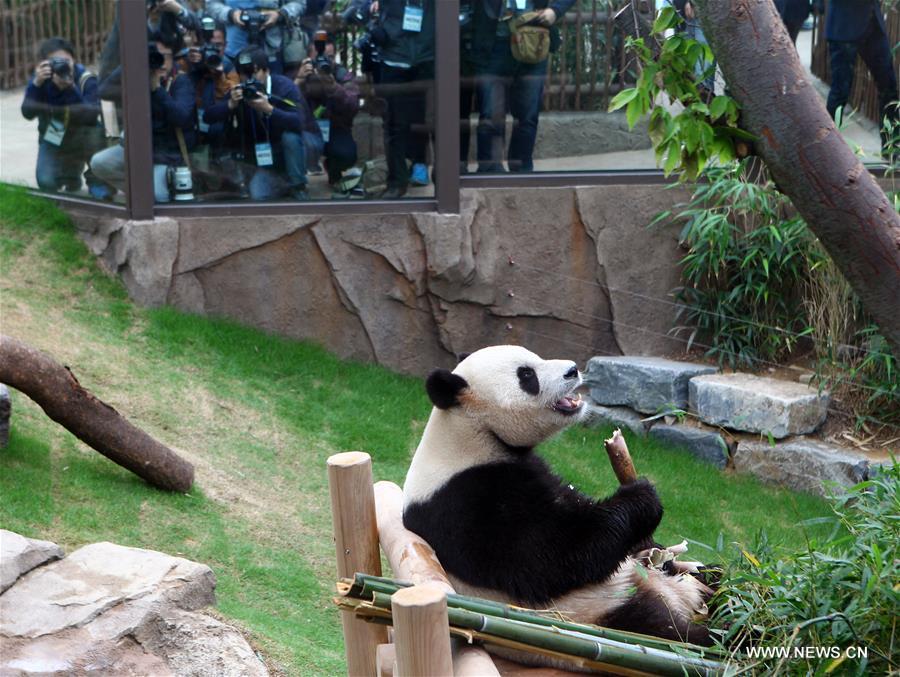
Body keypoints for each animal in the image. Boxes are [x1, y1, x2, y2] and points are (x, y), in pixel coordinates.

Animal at [404, 346, 712, 648]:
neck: (470, 433)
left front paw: (651, 542)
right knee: (666, 630)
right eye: (526, 375)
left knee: (705, 575)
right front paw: (643, 497)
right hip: (602, 609)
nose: (573, 369)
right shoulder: (467, 504)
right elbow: (551, 558)